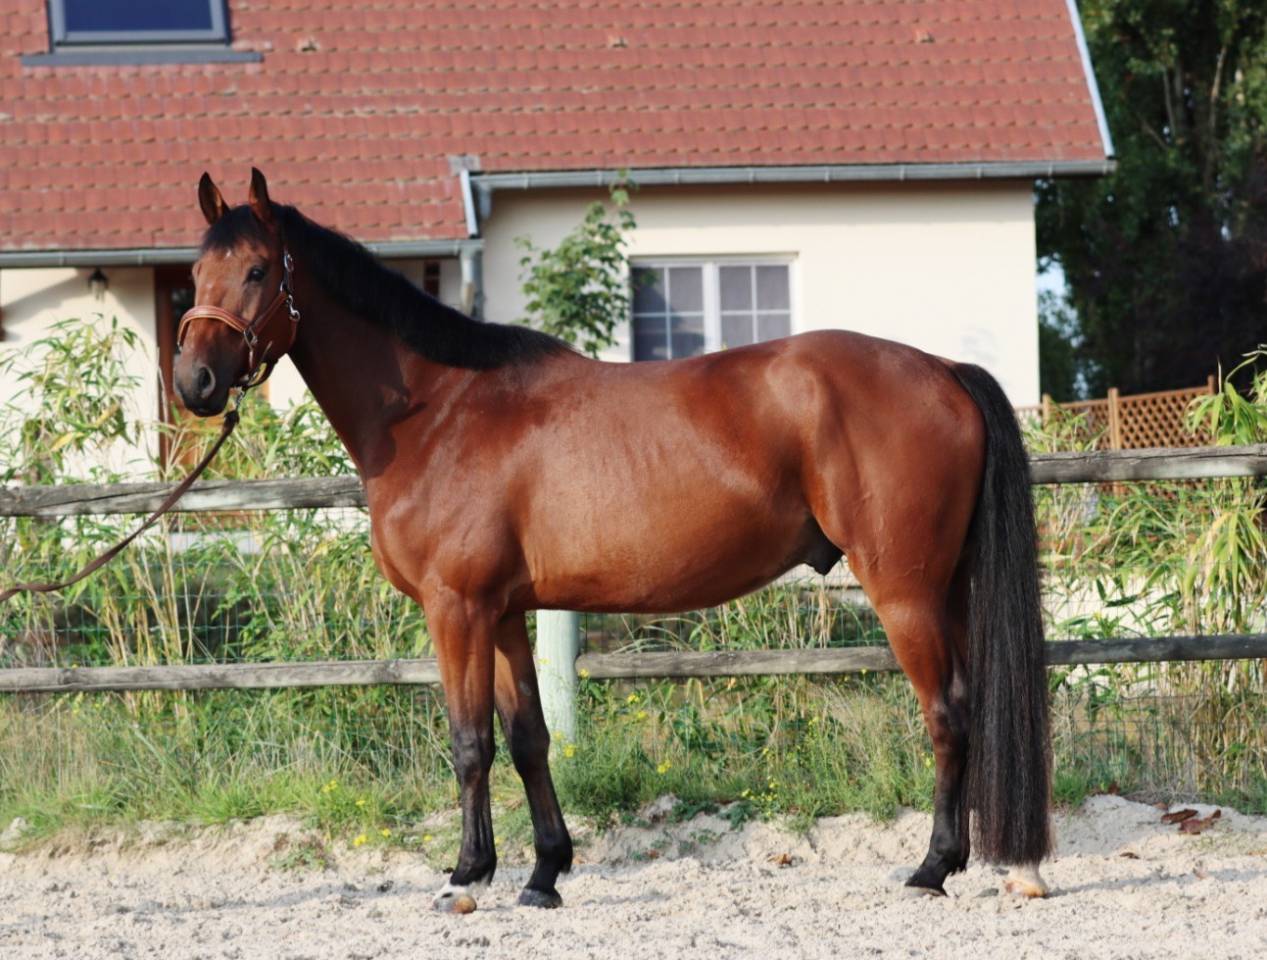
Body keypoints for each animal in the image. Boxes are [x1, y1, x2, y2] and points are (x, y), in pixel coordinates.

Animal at [175, 169, 1052, 911]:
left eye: (258, 271)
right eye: (194, 271)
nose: (194, 383)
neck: (437, 411)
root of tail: (941, 369)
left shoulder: (456, 609)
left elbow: (469, 742)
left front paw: (466, 874)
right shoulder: (501, 614)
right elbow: (527, 740)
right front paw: (543, 874)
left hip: (903, 590)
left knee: (947, 713)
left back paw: (932, 867)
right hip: (947, 587)